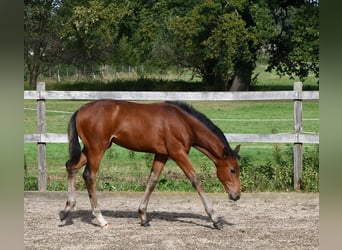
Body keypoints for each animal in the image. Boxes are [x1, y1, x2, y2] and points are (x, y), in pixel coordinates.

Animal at [59, 98, 240, 229]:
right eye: (232, 170)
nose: (236, 196)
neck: (184, 123)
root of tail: (80, 110)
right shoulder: (178, 153)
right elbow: (196, 180)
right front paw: (215, 219)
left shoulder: (162, 154)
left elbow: (152, 181)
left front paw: (143, 217)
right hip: (97, 148)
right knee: (90, 176)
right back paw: (100, 219)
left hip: (91, 149)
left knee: (71, 166)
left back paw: (66, 210)